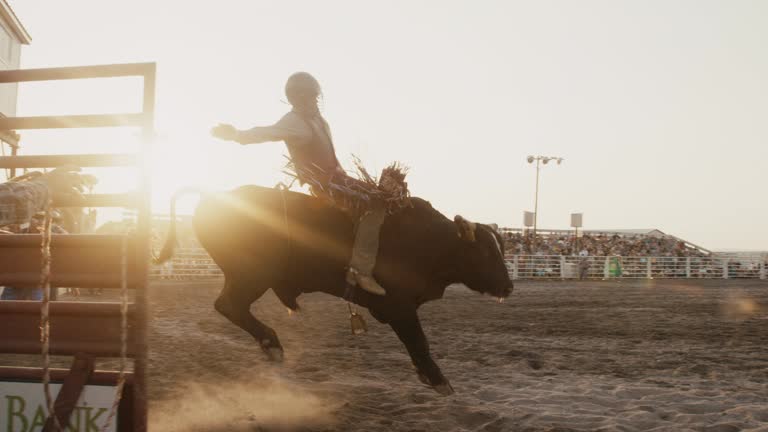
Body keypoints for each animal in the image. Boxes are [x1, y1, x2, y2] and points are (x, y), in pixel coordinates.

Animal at [156, 186, 512, 394]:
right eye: (485, 252)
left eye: (502, 248)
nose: (508, 286)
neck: (431, 242)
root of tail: (213, 195)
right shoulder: (397, 306)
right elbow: (418, 340)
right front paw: (437, 379)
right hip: (252, 274)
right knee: (228, 304)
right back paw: (272, 344)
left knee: (231, 306)